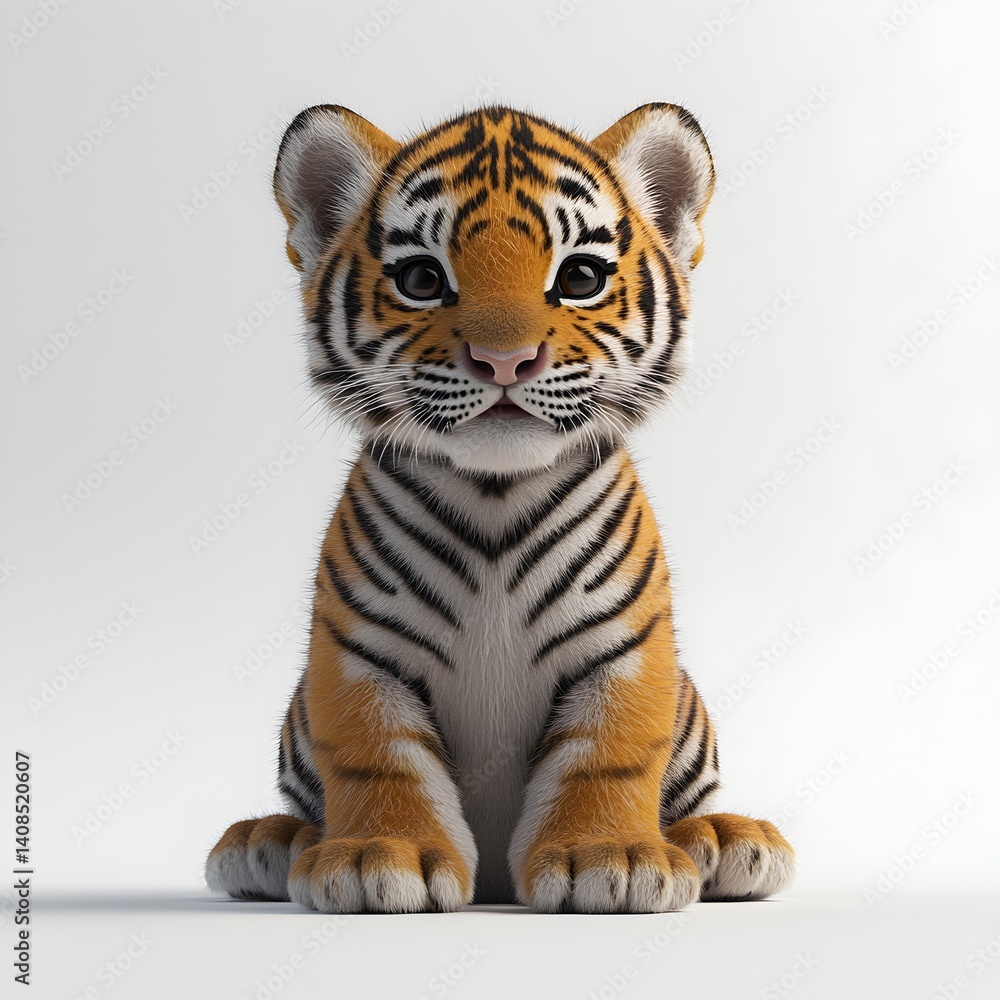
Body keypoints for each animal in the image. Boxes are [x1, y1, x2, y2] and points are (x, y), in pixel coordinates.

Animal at [205, 102, 795, 913]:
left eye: (579, 276)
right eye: (423, 278)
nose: (506, 361)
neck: (495, 493)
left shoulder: (624, 651)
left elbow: (606, 754)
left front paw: (608, 858)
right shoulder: (360, 654)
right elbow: (378, 756)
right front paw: (376, 856)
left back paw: (723, 839)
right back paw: (271, 840)